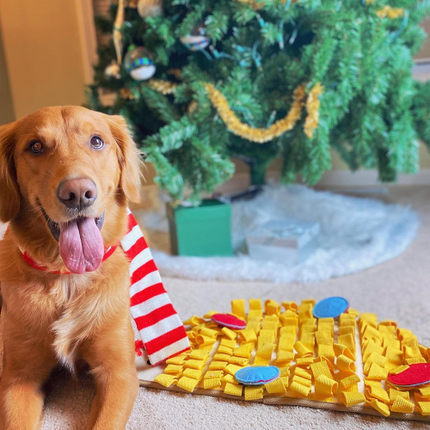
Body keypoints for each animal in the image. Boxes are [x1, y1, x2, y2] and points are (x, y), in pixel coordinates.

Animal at [0, 106, 143, 428]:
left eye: (97, 141)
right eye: (36, 146)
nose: (77, 192)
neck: (67, 276)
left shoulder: (119, 373)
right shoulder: (18, 377)